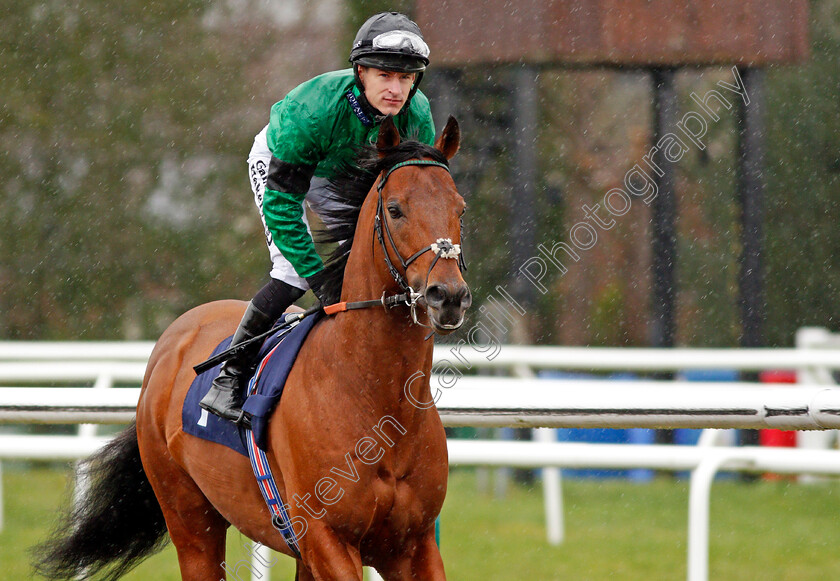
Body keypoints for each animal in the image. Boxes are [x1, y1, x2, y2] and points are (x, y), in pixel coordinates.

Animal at [34, 115, 466, 576]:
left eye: (460, 208)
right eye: (395, 209)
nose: (448, 296)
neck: (375, 397)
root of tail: (170, 342)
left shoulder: (412, 545)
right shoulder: (327, 538)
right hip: (189, 518)